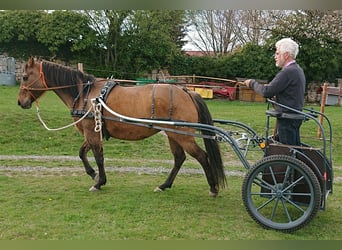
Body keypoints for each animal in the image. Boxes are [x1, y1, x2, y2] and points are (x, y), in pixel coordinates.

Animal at [16, 57, 227, 196]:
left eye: (25, 77)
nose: (20, 102)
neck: (85, 94)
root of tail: (187, 91)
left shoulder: (92, 133)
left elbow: (98, 157)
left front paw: (99, 182)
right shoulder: (92, 133)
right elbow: (82, 153)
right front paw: (93, 174)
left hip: (183, 135)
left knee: (202, 157)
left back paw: (213, 188)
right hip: (173, 135)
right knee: (179, 159)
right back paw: (164, 185)